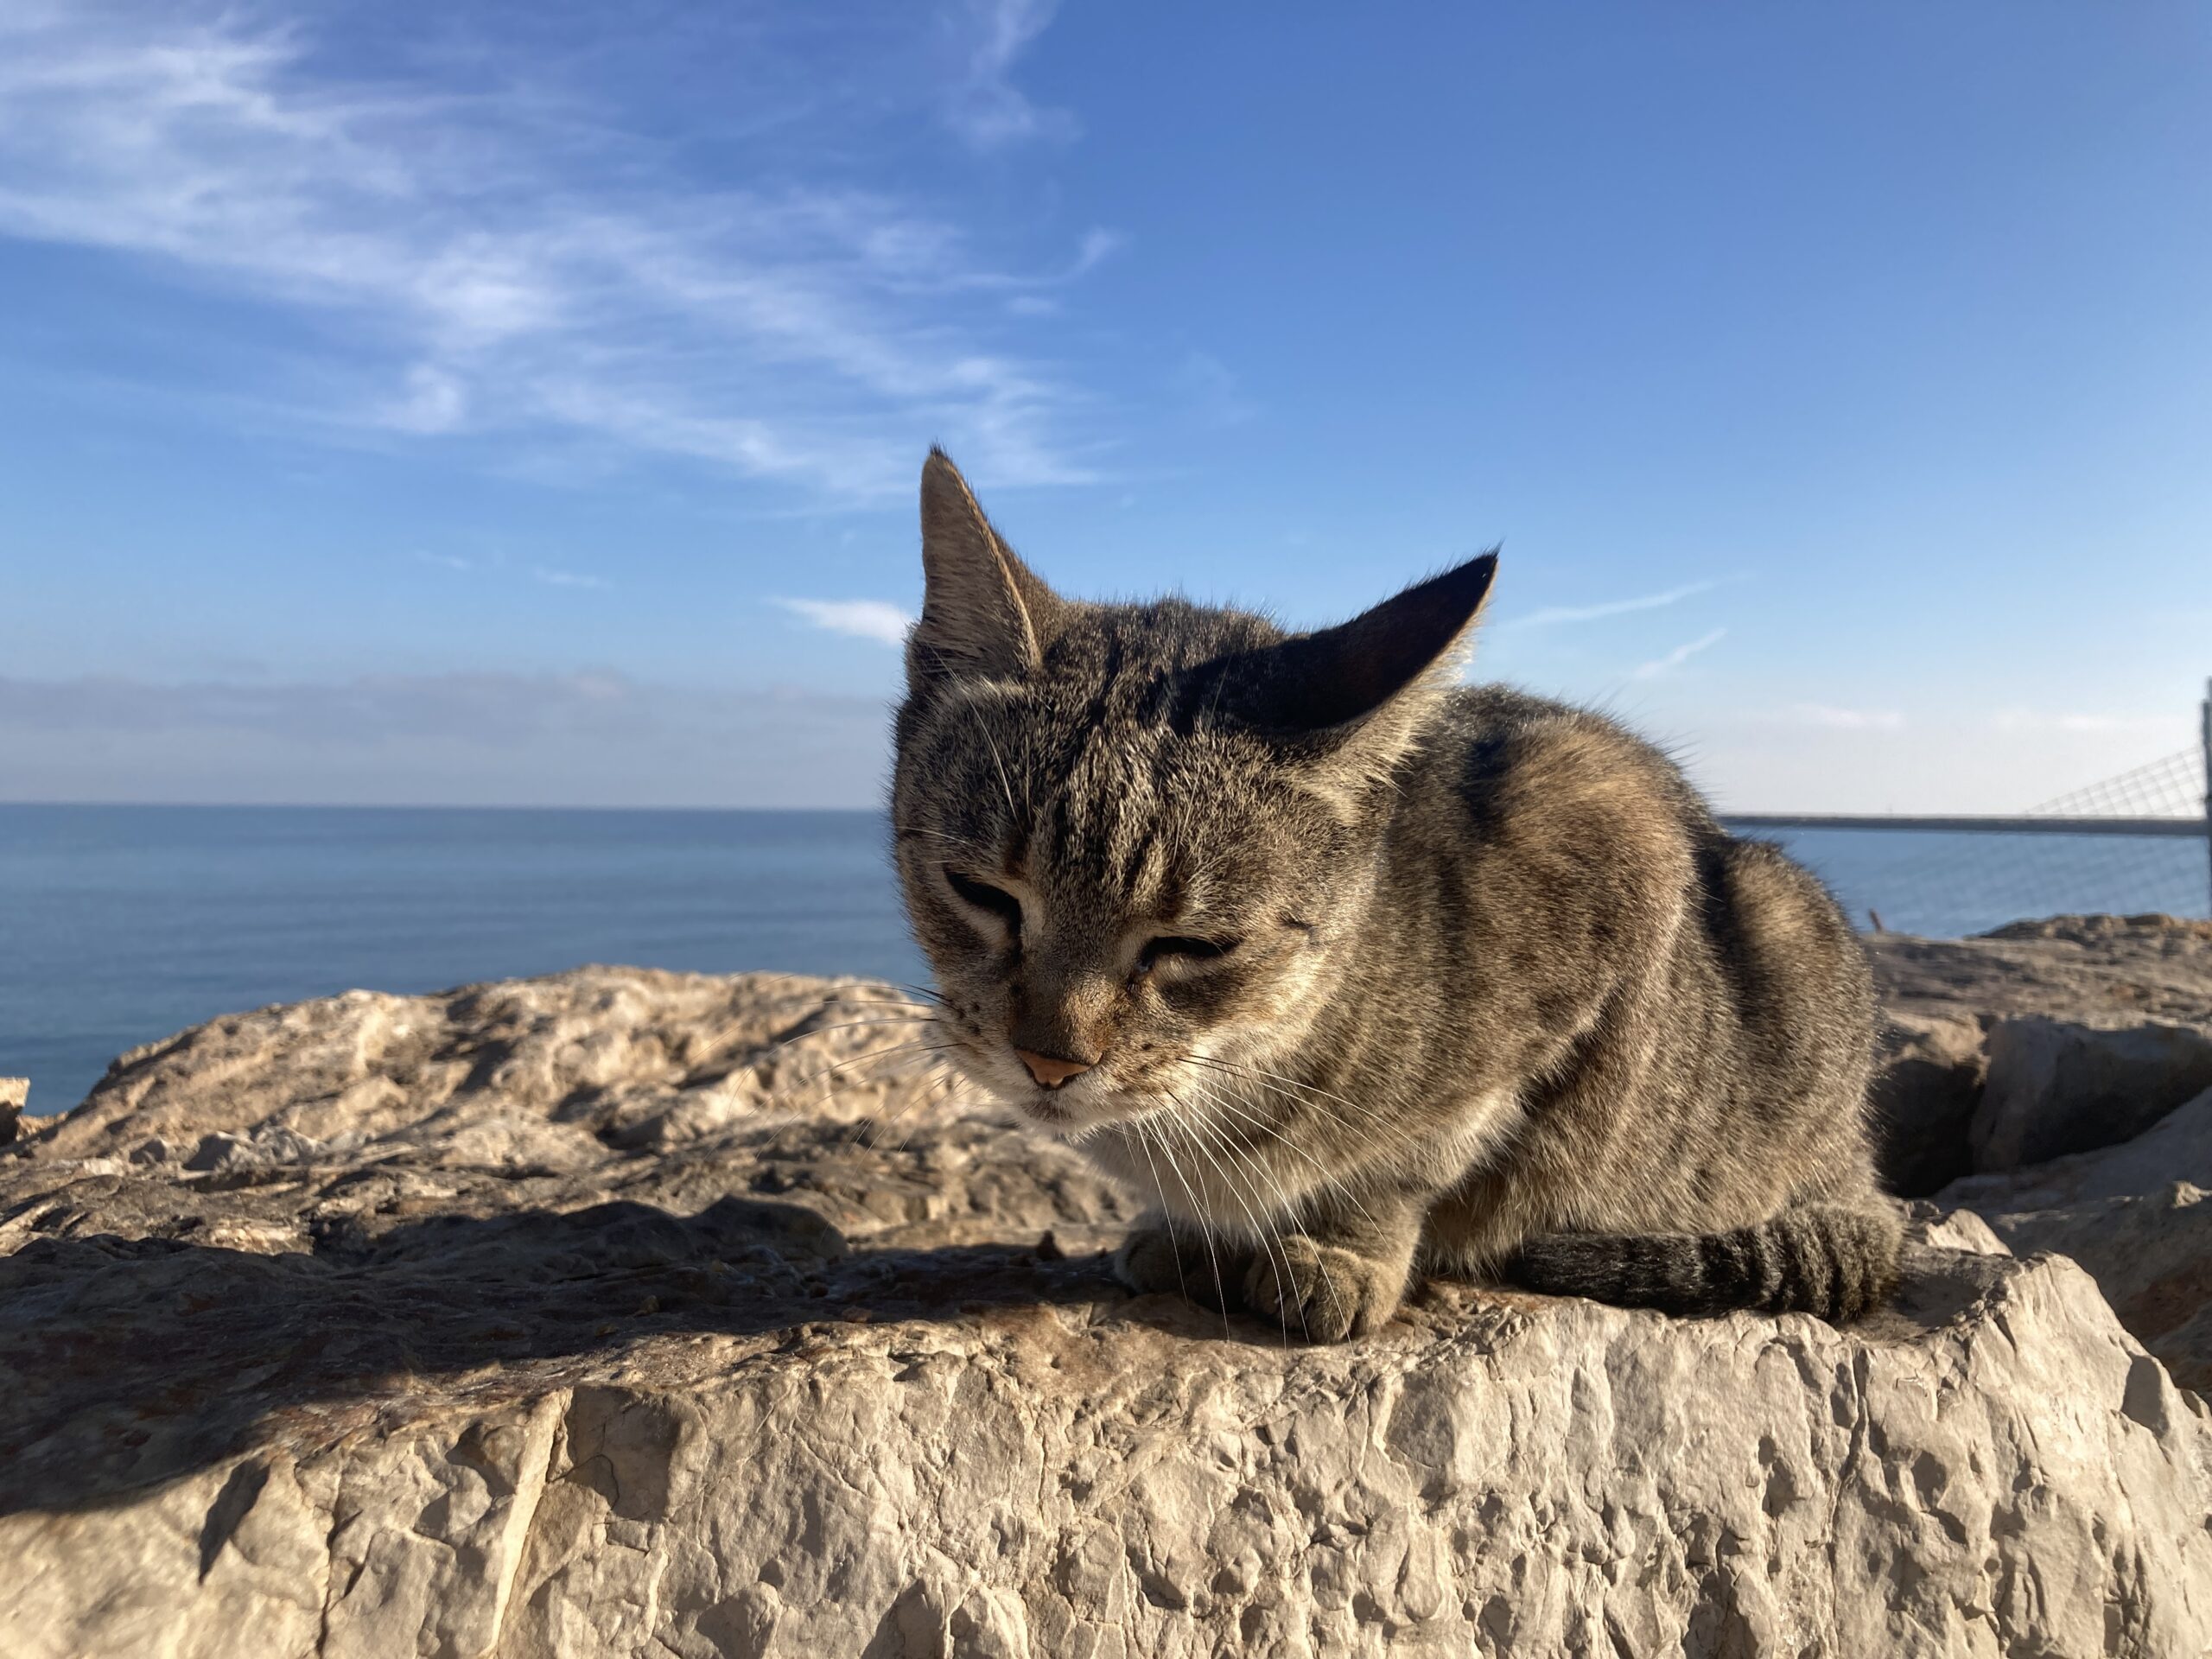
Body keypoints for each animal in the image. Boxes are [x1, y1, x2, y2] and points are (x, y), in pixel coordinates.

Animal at [889, 448, 1893, 1344]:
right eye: (981, 893)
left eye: (1195, 946)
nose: (1048, 1062)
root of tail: (1858, 1167)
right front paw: (1190, 1234)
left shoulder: (1600, 861)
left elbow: (1409, 1167)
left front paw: (1342, 1251)